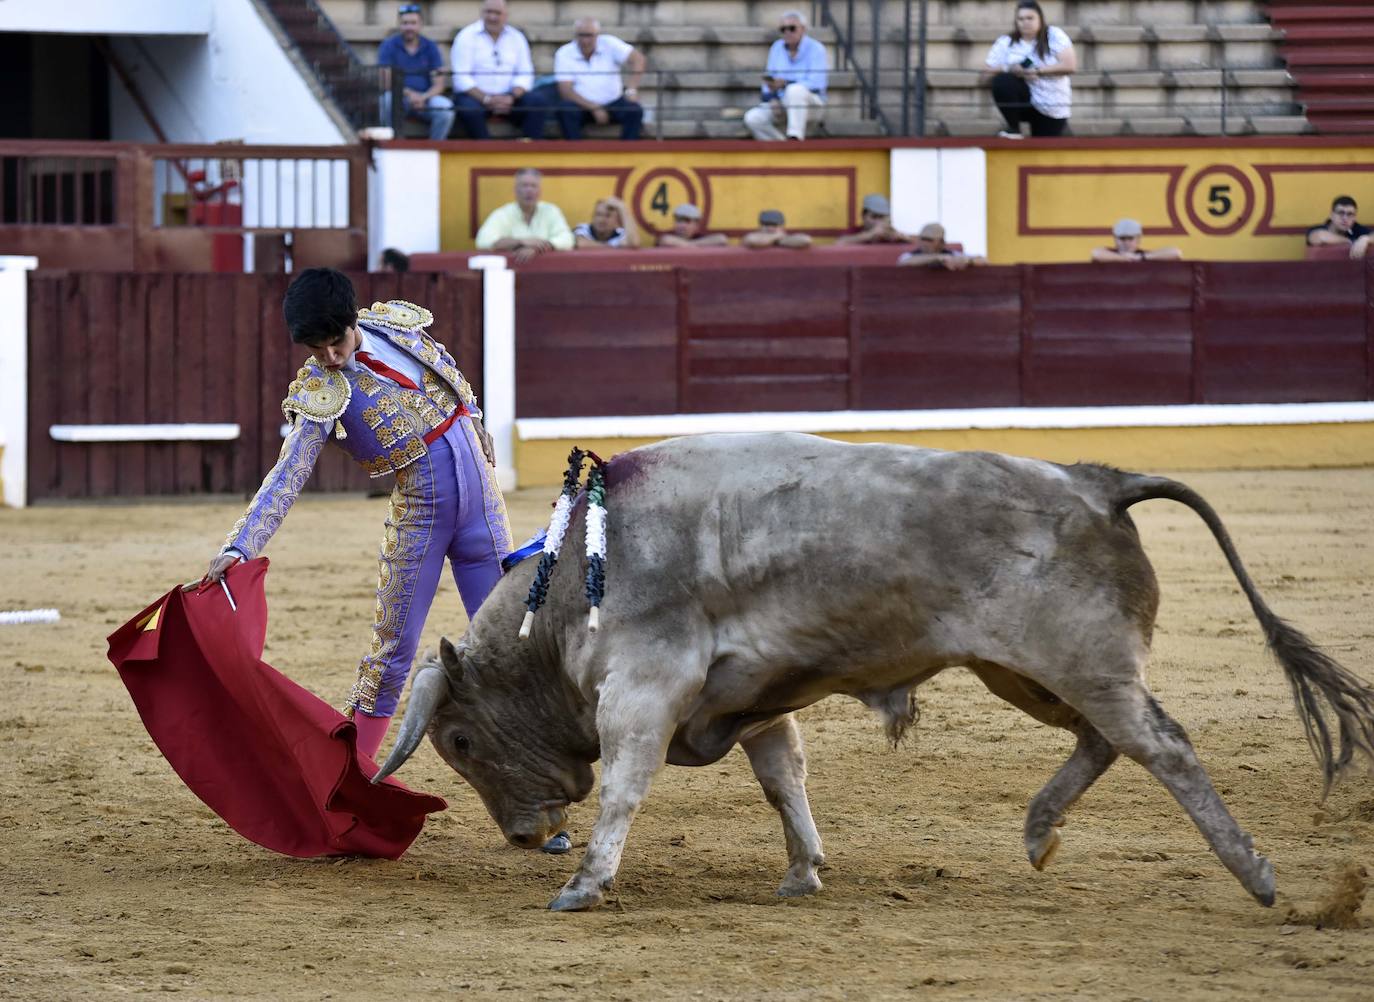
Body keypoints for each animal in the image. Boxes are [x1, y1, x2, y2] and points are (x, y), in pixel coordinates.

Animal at [376, 434, 1374, 912]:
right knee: (1106, 739)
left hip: (1076, 661)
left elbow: (626, 784)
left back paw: (1256, 875)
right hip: (1027, 674)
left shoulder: (644, 688)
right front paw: (804, 874)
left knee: (1159, 743)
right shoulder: (749, 701)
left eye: (458, 737)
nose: (521, 835)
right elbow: (784, 778)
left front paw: (583, 885)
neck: (581, 565)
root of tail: (1098, 480)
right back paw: (1040, 832)